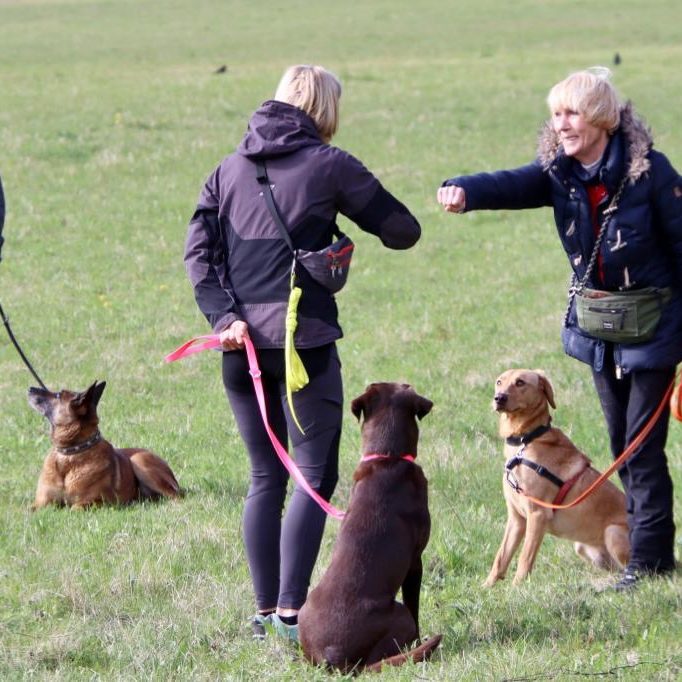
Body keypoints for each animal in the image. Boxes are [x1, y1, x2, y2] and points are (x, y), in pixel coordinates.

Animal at [28, 380, 179, 508]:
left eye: (58, 395)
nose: (30, 388)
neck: (70, 455)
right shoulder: (41, 503)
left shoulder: (93, 502)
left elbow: (74, 508)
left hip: (138, 459)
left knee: (176, 496)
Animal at [484, 366, 628, 584]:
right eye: (499, 381)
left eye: (520, 382)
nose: (498, 398)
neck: (525, 441)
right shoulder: (516, 518)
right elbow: (501, 557)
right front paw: (487, 587)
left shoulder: (537, 515)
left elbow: (525, 558)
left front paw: (517, 587)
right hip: (582, 547)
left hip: (613, 532)